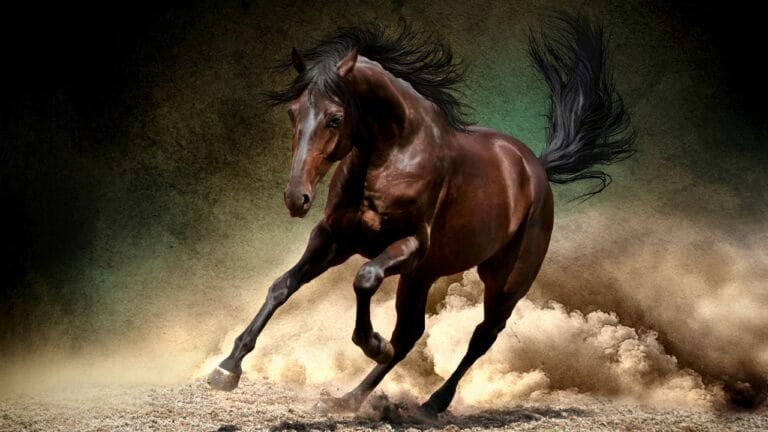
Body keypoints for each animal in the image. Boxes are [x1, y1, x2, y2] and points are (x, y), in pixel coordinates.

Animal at [207, 14, 634, 420]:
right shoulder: (334, 238)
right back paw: (346, 401)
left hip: (505, 281)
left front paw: (373, 343)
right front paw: (227, 368)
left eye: (334, 118)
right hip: (423, 277)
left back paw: (432, 403)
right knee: (410, 335)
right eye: (293, 113)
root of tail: (536, 169)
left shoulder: (410, 246)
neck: (393, 154)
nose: (296, 198)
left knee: (482, 336)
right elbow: (282, 286)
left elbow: (365, 278)